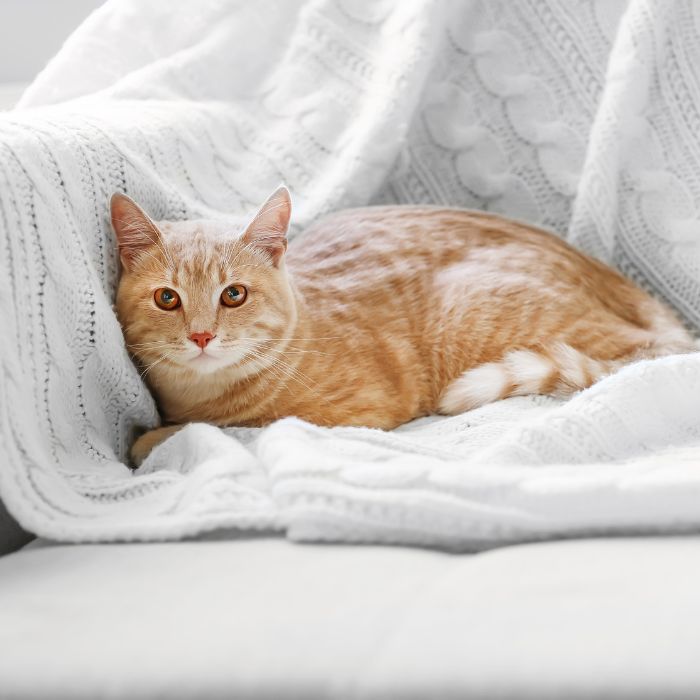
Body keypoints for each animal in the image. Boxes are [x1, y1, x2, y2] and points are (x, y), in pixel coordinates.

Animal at [112, 186, 696, 464]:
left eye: (233, 295)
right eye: (168, 298)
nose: (202, 336)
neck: (201, 393)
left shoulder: (353, 414)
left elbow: (232, 428)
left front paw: (153, 440)